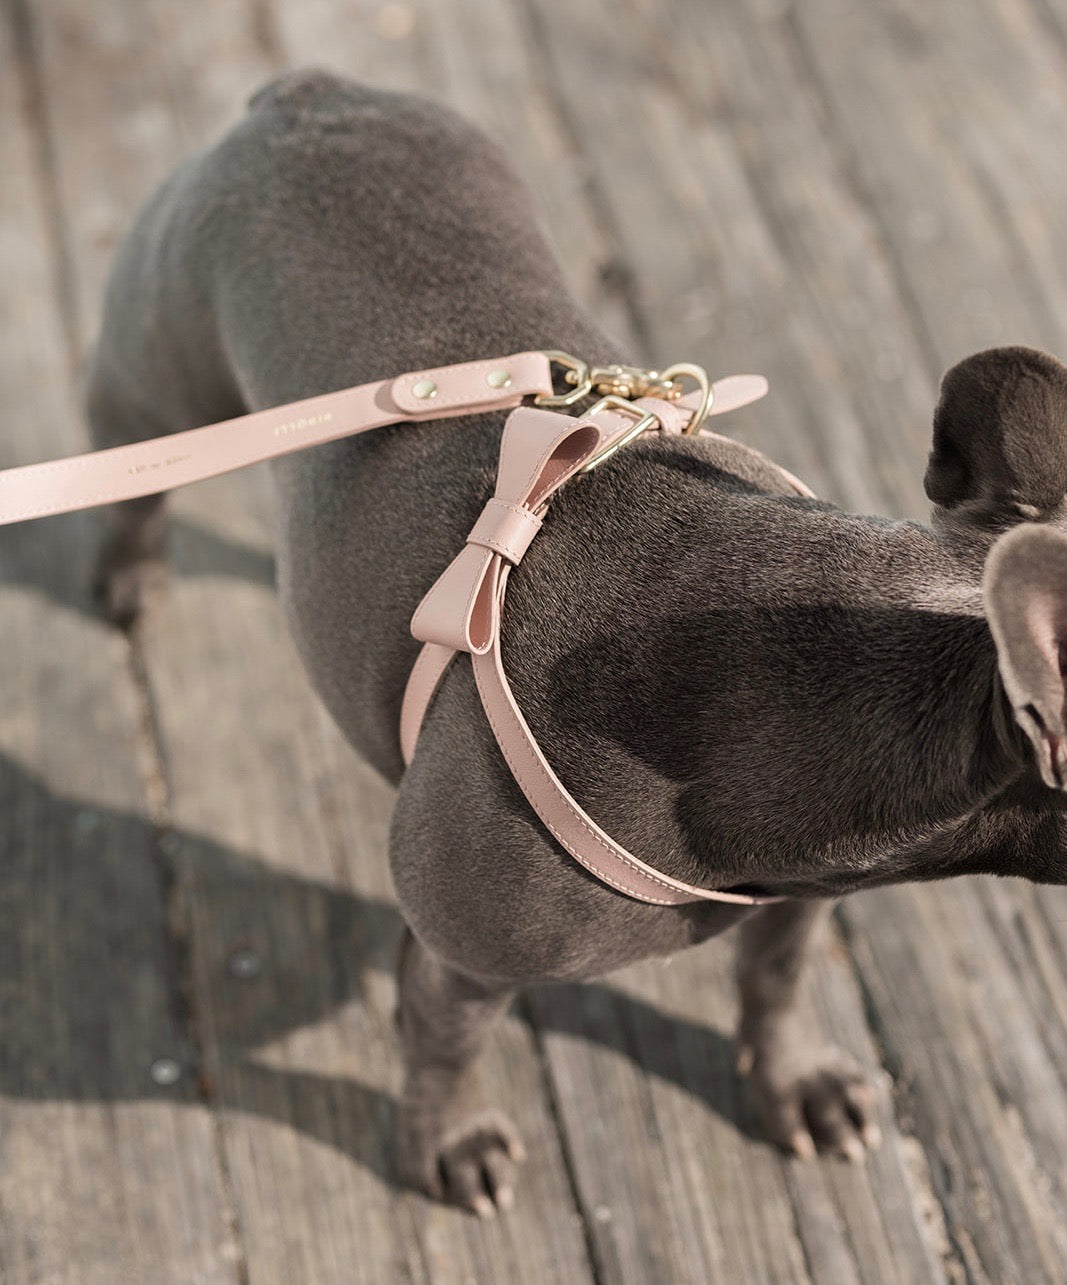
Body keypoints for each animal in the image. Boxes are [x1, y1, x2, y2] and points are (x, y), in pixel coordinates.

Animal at [87, 70, 1067, 1213]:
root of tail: (312, 95)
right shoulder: (464, 961)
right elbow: (447, 1048)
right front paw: (449, 1143)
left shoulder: (804, 898)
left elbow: (771, 979)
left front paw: (795, 1086)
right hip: (160, 365)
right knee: (133, 463)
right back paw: (129, 573)